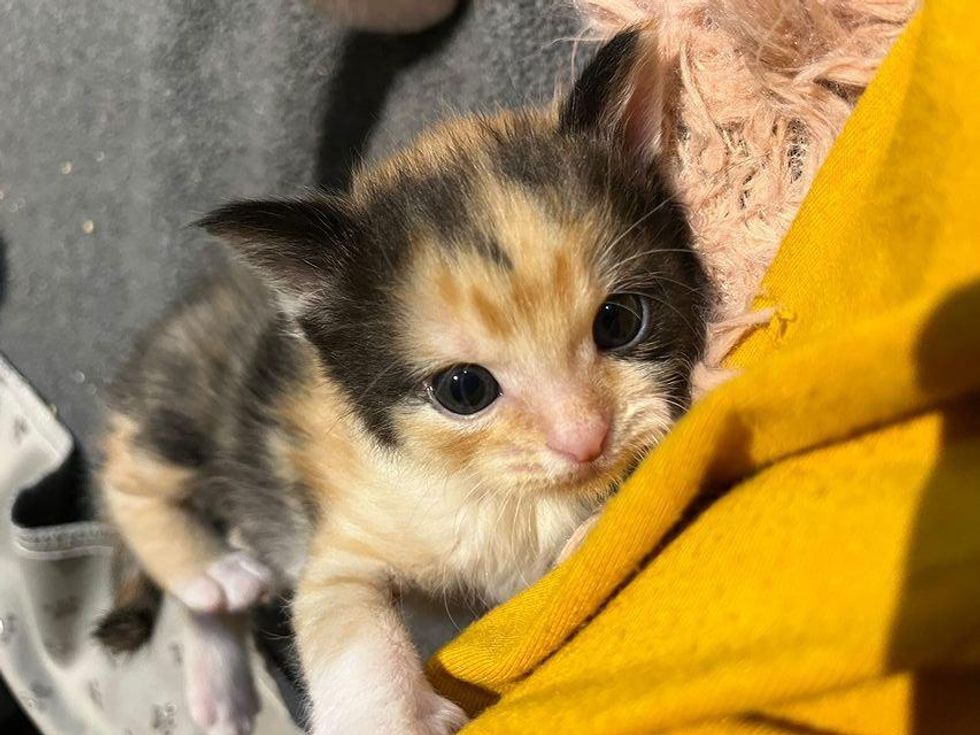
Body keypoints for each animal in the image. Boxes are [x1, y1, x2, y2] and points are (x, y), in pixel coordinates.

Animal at [95, 28, 708, 735]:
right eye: (464, 390)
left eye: (620, 321)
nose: (585, 439)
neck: (503, 499)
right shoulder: (342, 553)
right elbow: (351, 626)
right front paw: (389, 713)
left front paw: (598, 528)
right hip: (185, 402)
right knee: (127, 478)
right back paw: (210, 573)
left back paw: (219, 688)